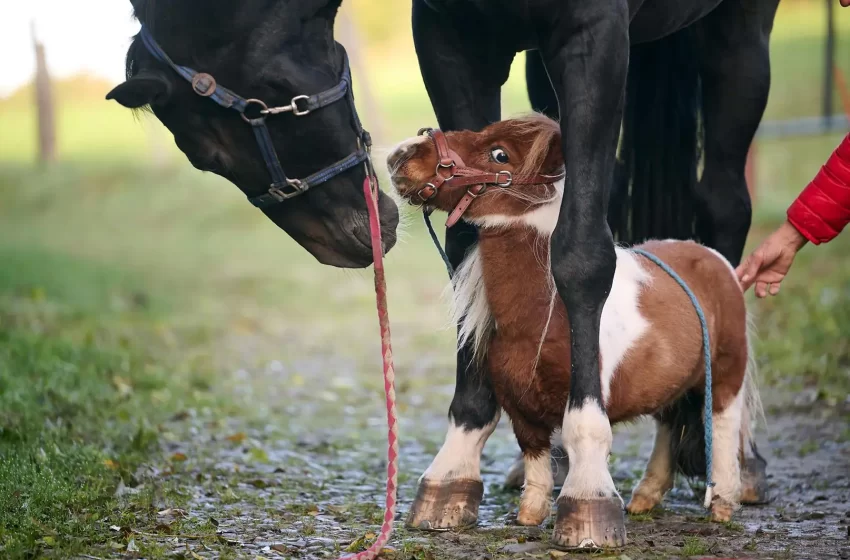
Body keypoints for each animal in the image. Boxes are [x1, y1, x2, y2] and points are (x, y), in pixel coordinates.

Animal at [400, 0, 780, 548]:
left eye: (500, 155)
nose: (402, 156)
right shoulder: (447, 34)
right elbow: (462, 251)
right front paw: (455, 475)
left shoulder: (594, 37)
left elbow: (582, 252)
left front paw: (588, 492)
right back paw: (648, 487)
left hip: (740, 33)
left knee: (725, 204)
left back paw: (732, 474)